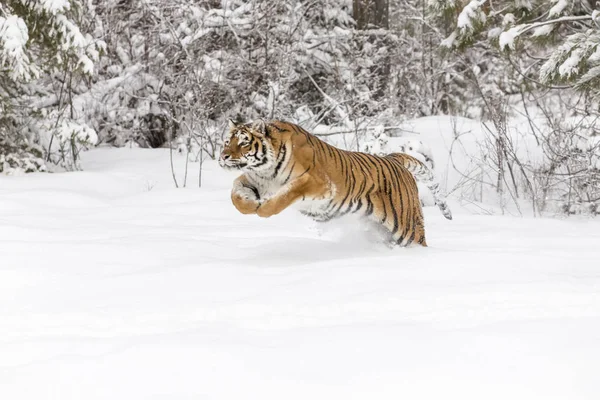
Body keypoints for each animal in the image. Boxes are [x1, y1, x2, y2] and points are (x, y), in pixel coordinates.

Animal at [219, 118, 450, 247]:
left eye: (244, 143)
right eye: (227, 141)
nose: (223, 156)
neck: (266, 168)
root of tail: (392, 158)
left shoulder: (317, 182)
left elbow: (285, 195)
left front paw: (262, 209)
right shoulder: (254, 179)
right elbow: (235, 194)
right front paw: (250, 205)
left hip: (409, 229)